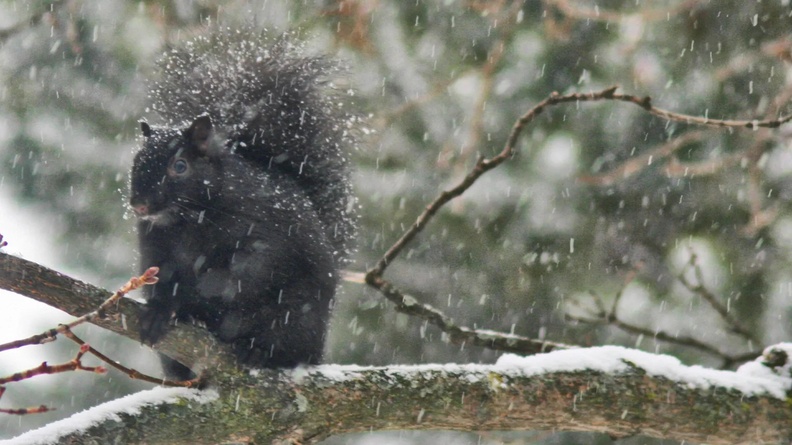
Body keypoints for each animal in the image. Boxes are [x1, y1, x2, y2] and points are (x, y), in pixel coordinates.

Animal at [129, 30, 356, 377]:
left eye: (180, 165)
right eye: (136, 160)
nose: (139, 205)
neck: (191, 217)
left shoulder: (262, 231)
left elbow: (247, 269)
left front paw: (204, 287)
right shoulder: (155, 245)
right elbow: (162, 278)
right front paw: (160, 311)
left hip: (297, 319)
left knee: (287, 346)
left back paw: (257, 352)